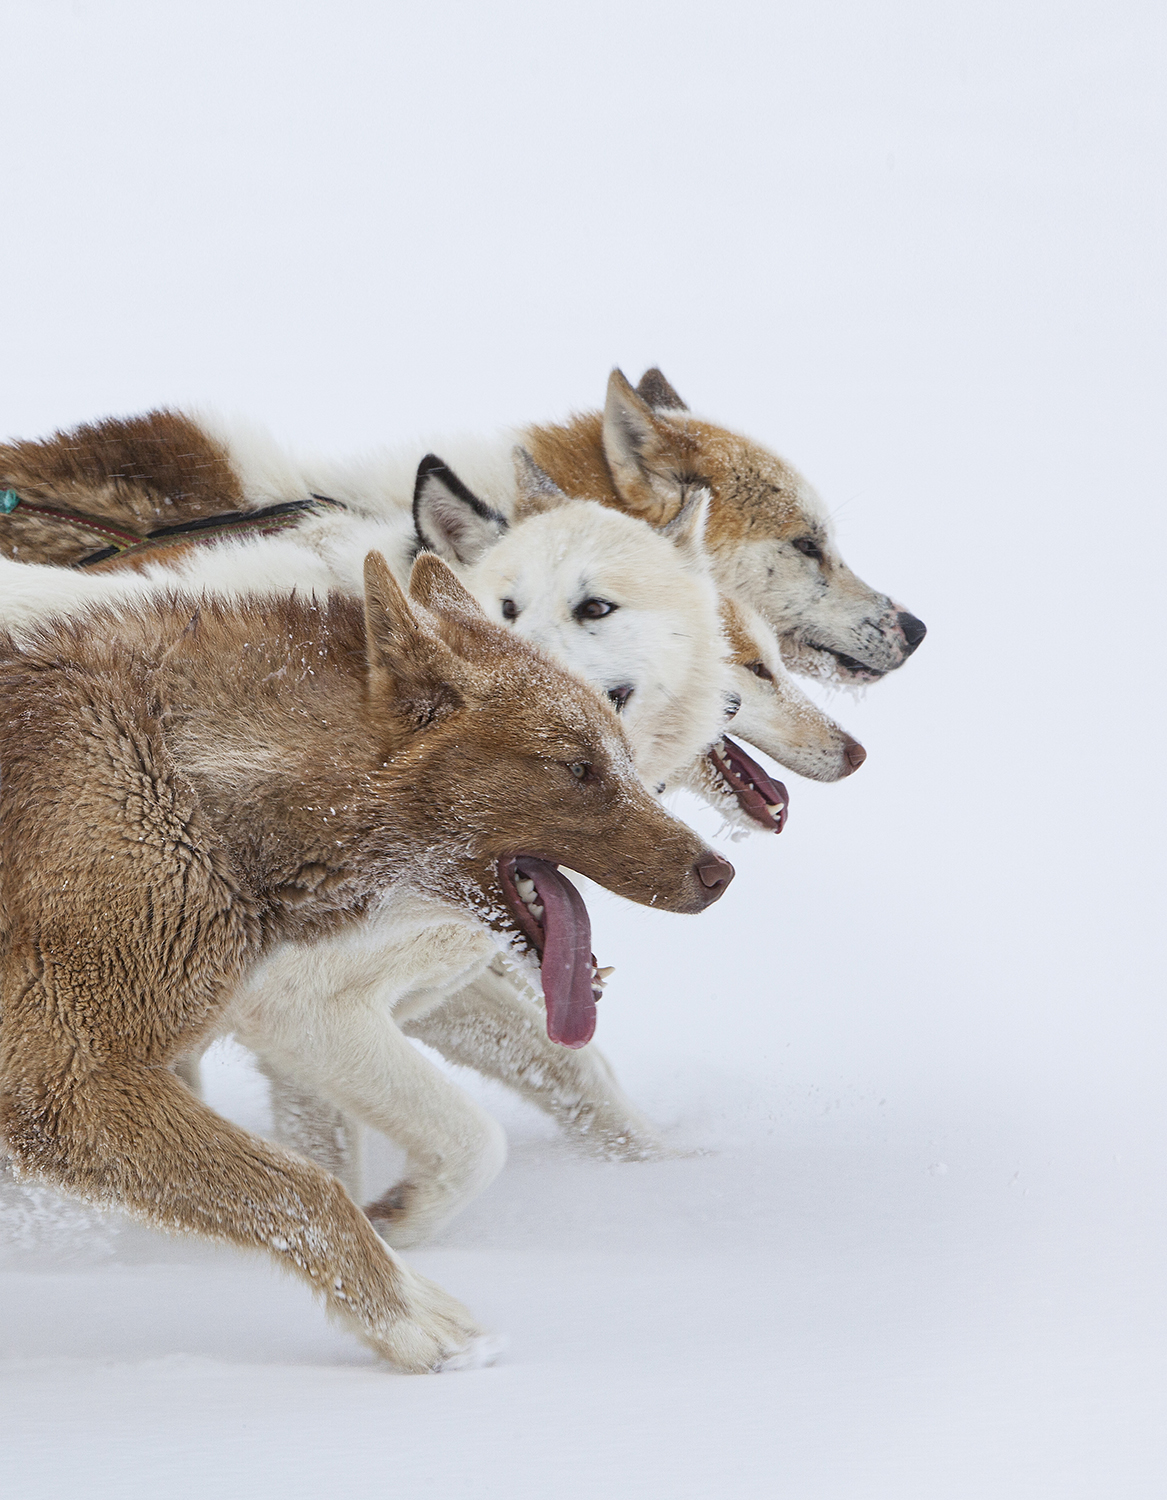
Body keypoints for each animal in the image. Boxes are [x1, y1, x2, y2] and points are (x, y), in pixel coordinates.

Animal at [0, 550, 732, 1371]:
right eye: (576, 769)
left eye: (624, 757)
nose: (719, 873)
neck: (187, 781)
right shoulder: (71, 1086)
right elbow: (313, 1189)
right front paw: (414, 1323)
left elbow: (540, 1098)